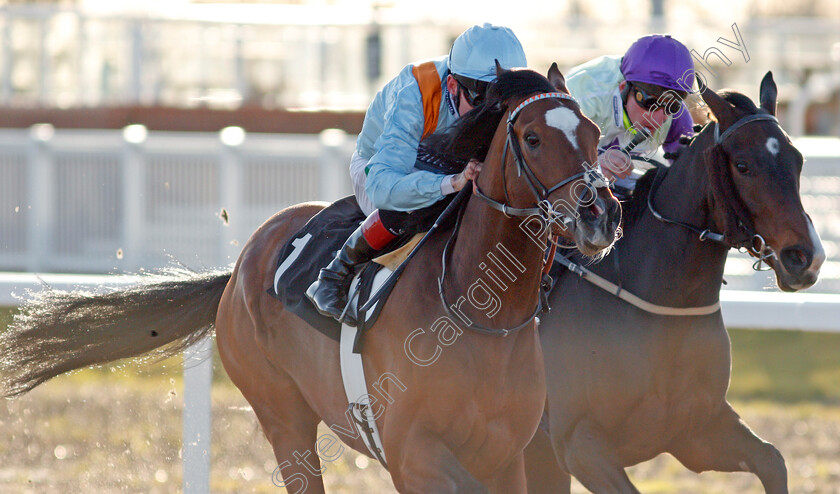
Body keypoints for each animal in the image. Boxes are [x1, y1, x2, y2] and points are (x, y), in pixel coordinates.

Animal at [1, 63, 624, 492]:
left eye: (595, 134)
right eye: (533, 138)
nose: (600, 214)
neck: (475, 314)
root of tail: (242, 263)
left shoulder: (505, 459)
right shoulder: (417, 457)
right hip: (281, 414)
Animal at [520, 72, 824, 494]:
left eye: (797, 160)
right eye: (743, 165)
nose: (806, 257)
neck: (663, 311)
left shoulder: (695, 431)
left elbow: (772, 460)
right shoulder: (580, 444)